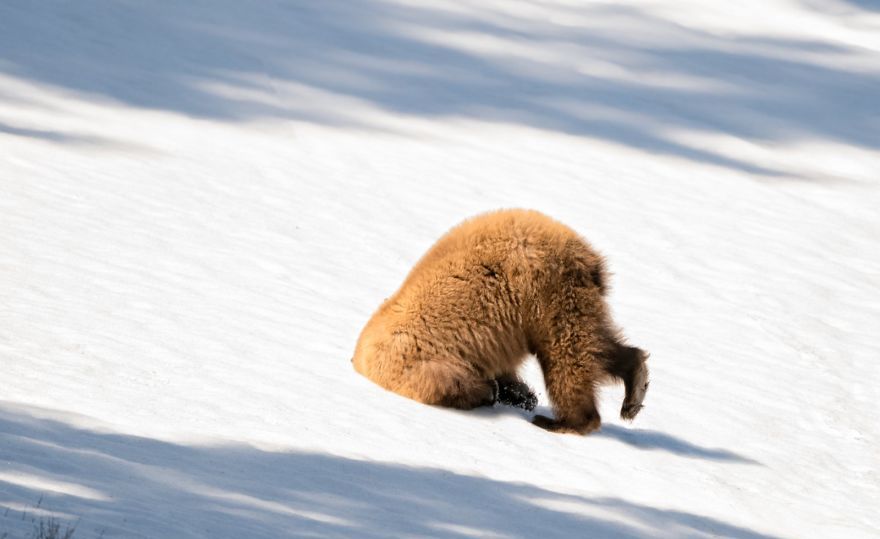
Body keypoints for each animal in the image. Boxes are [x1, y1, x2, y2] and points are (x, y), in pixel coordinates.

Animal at [354, 208, 648, 434]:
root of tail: (584, 254)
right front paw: (520, 394)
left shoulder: (418, 361)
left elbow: (451, 383)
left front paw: (494, 393)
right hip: (572, 297)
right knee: (594, 344)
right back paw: (634, 386)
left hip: (544, 294)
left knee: (566, 356)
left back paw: (563, 421)